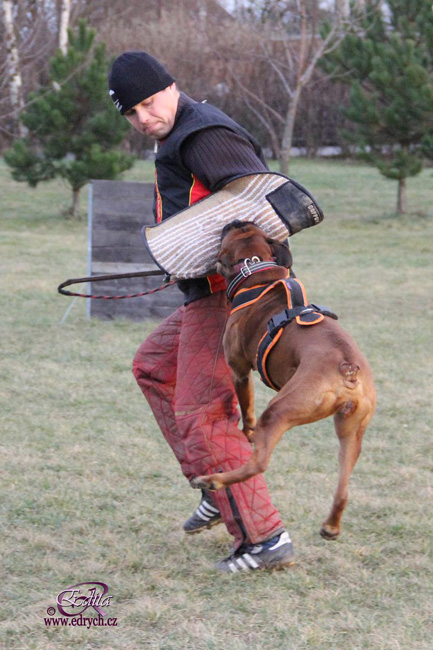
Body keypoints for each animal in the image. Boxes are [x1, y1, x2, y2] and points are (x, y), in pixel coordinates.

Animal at [192, 220, 374, 540]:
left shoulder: (239, 371)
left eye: (230, 232)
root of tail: (347, 368)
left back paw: (212, 480)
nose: (234, 221)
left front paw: (246, 432)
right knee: (343, 489)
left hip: (280, 410)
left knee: (258, 463)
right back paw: (330, 527)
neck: (256, 269)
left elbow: (247, 410)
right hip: (351, 432)